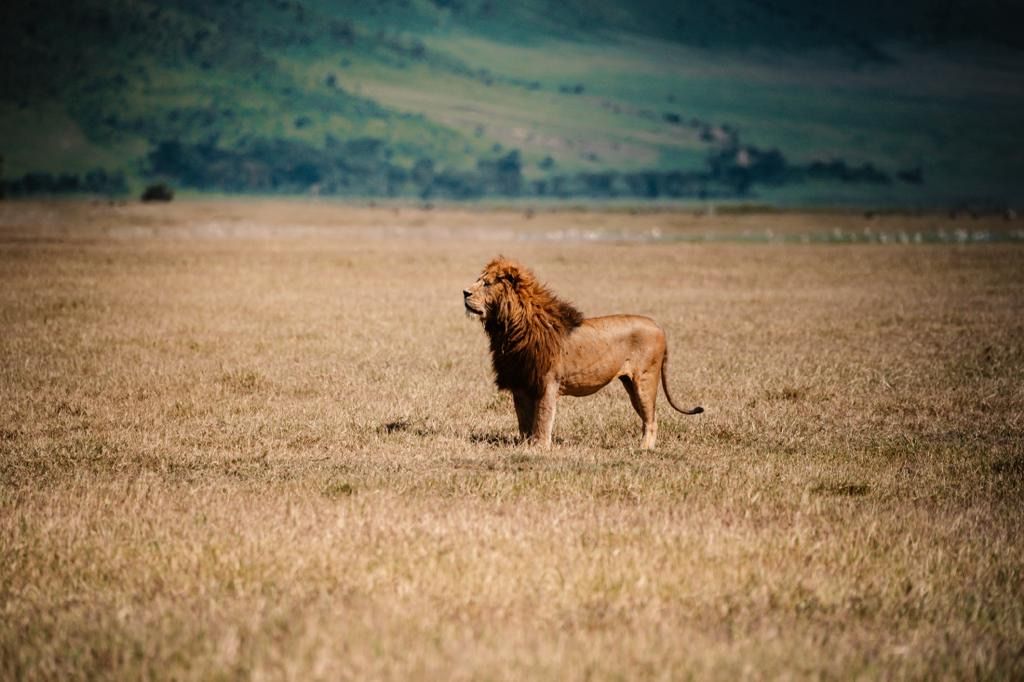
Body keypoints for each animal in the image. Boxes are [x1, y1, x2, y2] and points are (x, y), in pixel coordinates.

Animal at [463, 257, 702, 449]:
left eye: (486, 283)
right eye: (479, 280)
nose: (465, 292)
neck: (508, 328)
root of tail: (658, 326)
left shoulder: (548, 382)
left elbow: (542, 418)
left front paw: (540, 448)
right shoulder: (521, 383)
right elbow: (524, 420)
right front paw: (525, 445)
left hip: (645, 380)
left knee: (651, 419)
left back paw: (643, 449)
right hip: (631, 385)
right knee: (648, 416)